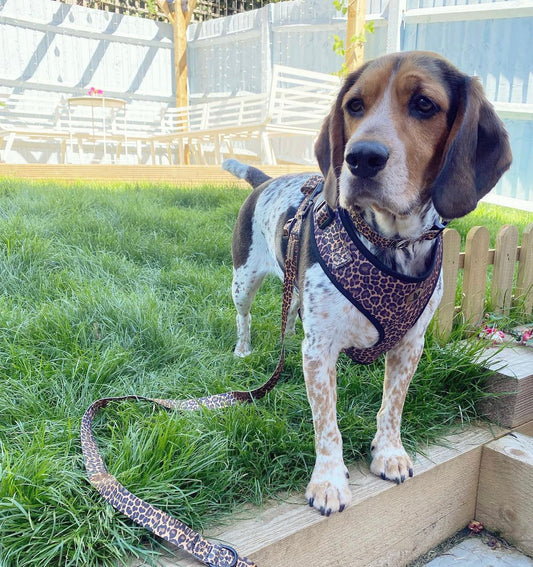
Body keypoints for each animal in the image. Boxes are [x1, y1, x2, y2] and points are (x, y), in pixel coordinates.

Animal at [221, 53, 512, 520]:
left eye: (425, 104)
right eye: (354, 106)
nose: (360, 157)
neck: (391, 242)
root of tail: (266, 179)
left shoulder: (410, 345)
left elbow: (392, 406)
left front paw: (389, 454)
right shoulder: (319, 350)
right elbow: (327, 425)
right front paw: (327, 481)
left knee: (285, 314)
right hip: (243, 279)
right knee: (244, 317)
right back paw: (243, 351)